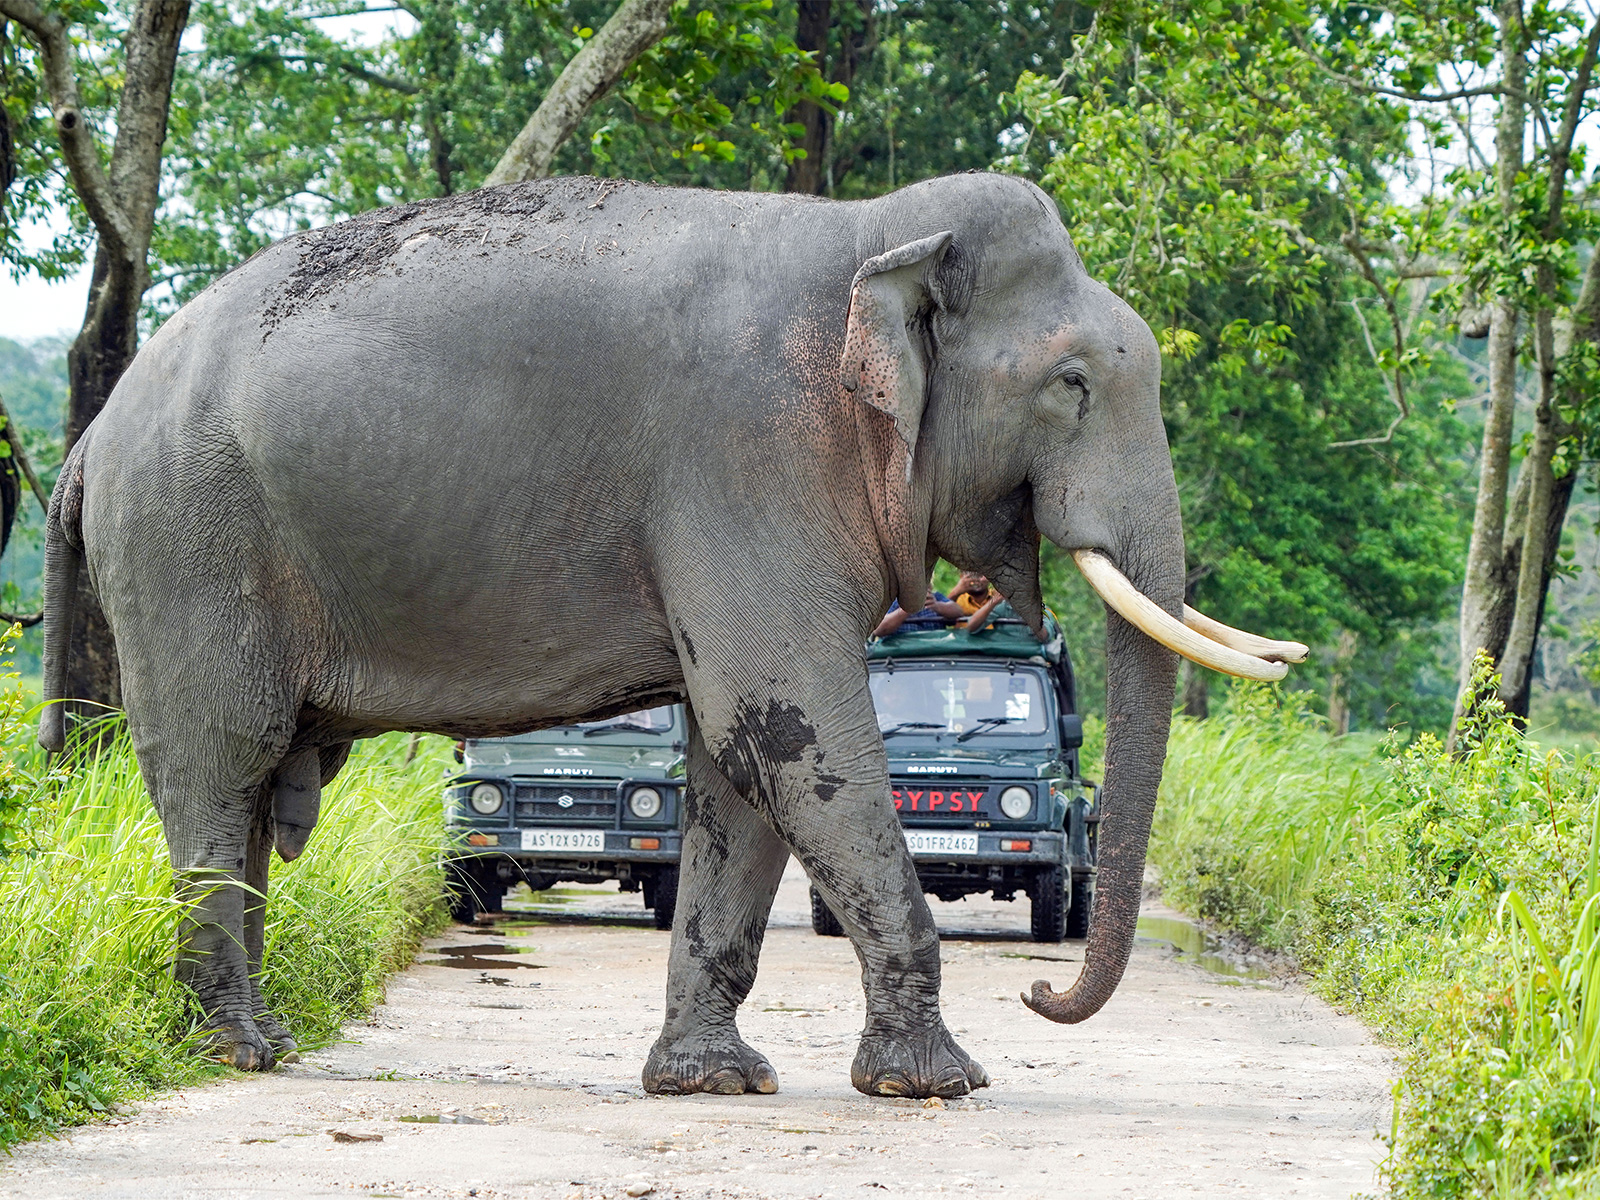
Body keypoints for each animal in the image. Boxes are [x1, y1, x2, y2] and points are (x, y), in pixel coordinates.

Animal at [39, 171, 1304, 1097]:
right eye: (1074, 384)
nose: (1042, 996)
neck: (875, 231)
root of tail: (92, 439)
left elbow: (742, 761)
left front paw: (713, 1082)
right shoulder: (751, 462)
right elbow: (792, 731)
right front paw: (938, 1084)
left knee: (252, 791)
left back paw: (264, 1043)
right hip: (190, 542)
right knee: (223, 764)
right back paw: (239, 1052)